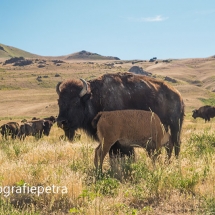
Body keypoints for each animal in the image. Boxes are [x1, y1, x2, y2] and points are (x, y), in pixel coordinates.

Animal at [56, 72, 184, 158]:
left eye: (75, 102)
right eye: (59, 102)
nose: (61, 122)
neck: (95, 97)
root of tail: (178, 95)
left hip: (175, 125)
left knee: (176, 144)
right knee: (169, 145)